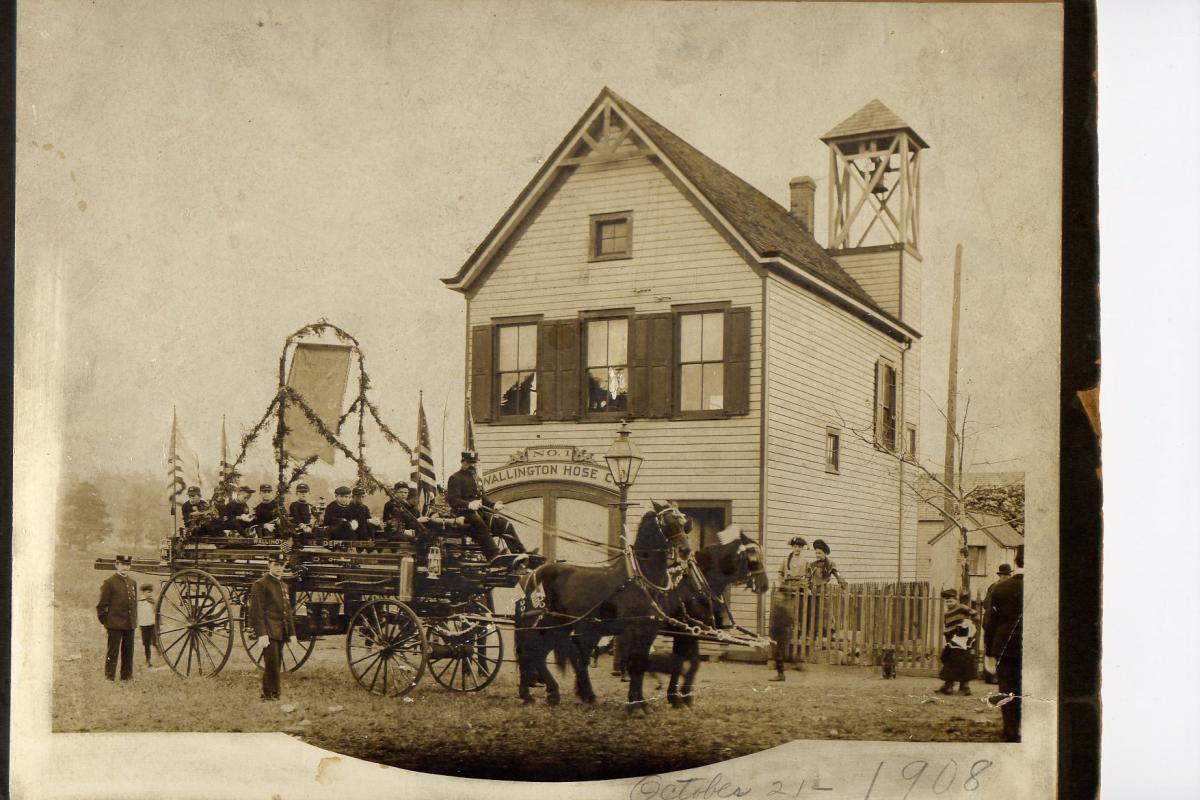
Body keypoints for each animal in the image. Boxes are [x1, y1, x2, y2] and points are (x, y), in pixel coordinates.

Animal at [516, 501, 696, 714]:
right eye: (666, 523)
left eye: (684, 523)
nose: (685, 550)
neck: (642, 579)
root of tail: (531, 575)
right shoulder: (631, 630)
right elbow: (633, 664)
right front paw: (634, 704)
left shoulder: (649, 630)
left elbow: (642, 664)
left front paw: (641, 702)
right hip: (544, 625)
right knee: (531, 653)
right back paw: (532, 695)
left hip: (561, 627)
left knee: (541, 655)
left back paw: (558, 694)